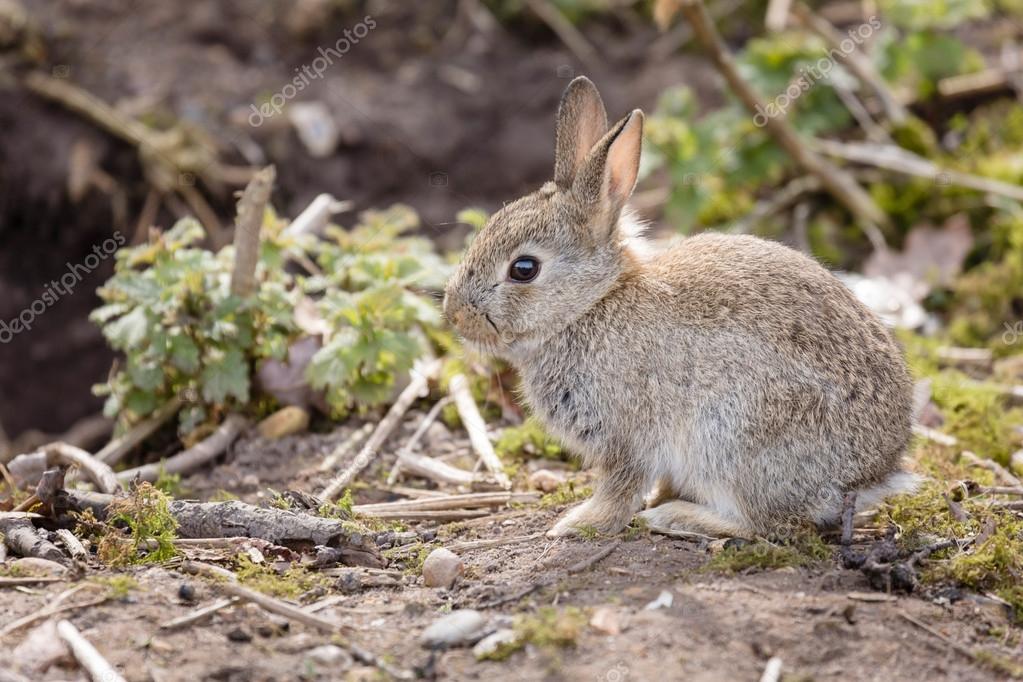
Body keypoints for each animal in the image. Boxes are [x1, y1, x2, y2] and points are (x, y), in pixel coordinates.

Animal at [443, 76, 916, 539]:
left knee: (766, 524)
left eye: (524, 269)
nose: (456, 316)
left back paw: (675, 518)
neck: (592, 304)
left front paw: (579, 523)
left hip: (733, 439)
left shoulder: (627, 436)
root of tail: (871, 476)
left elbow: (620, 487)